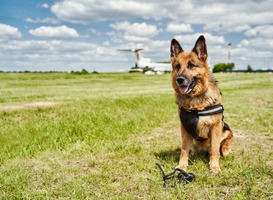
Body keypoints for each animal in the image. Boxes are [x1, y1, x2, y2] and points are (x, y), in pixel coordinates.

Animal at [170, 35, 232, 173]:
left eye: (191, 65)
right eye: (177, 66)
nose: (179, 79)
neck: (195, 103)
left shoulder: (216, 126)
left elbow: (214, 149)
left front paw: (214, 166)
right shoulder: (185, 129)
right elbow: (184, 150)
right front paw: (182, 166)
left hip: (226, 130)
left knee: (222, 146)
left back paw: (224, 150)